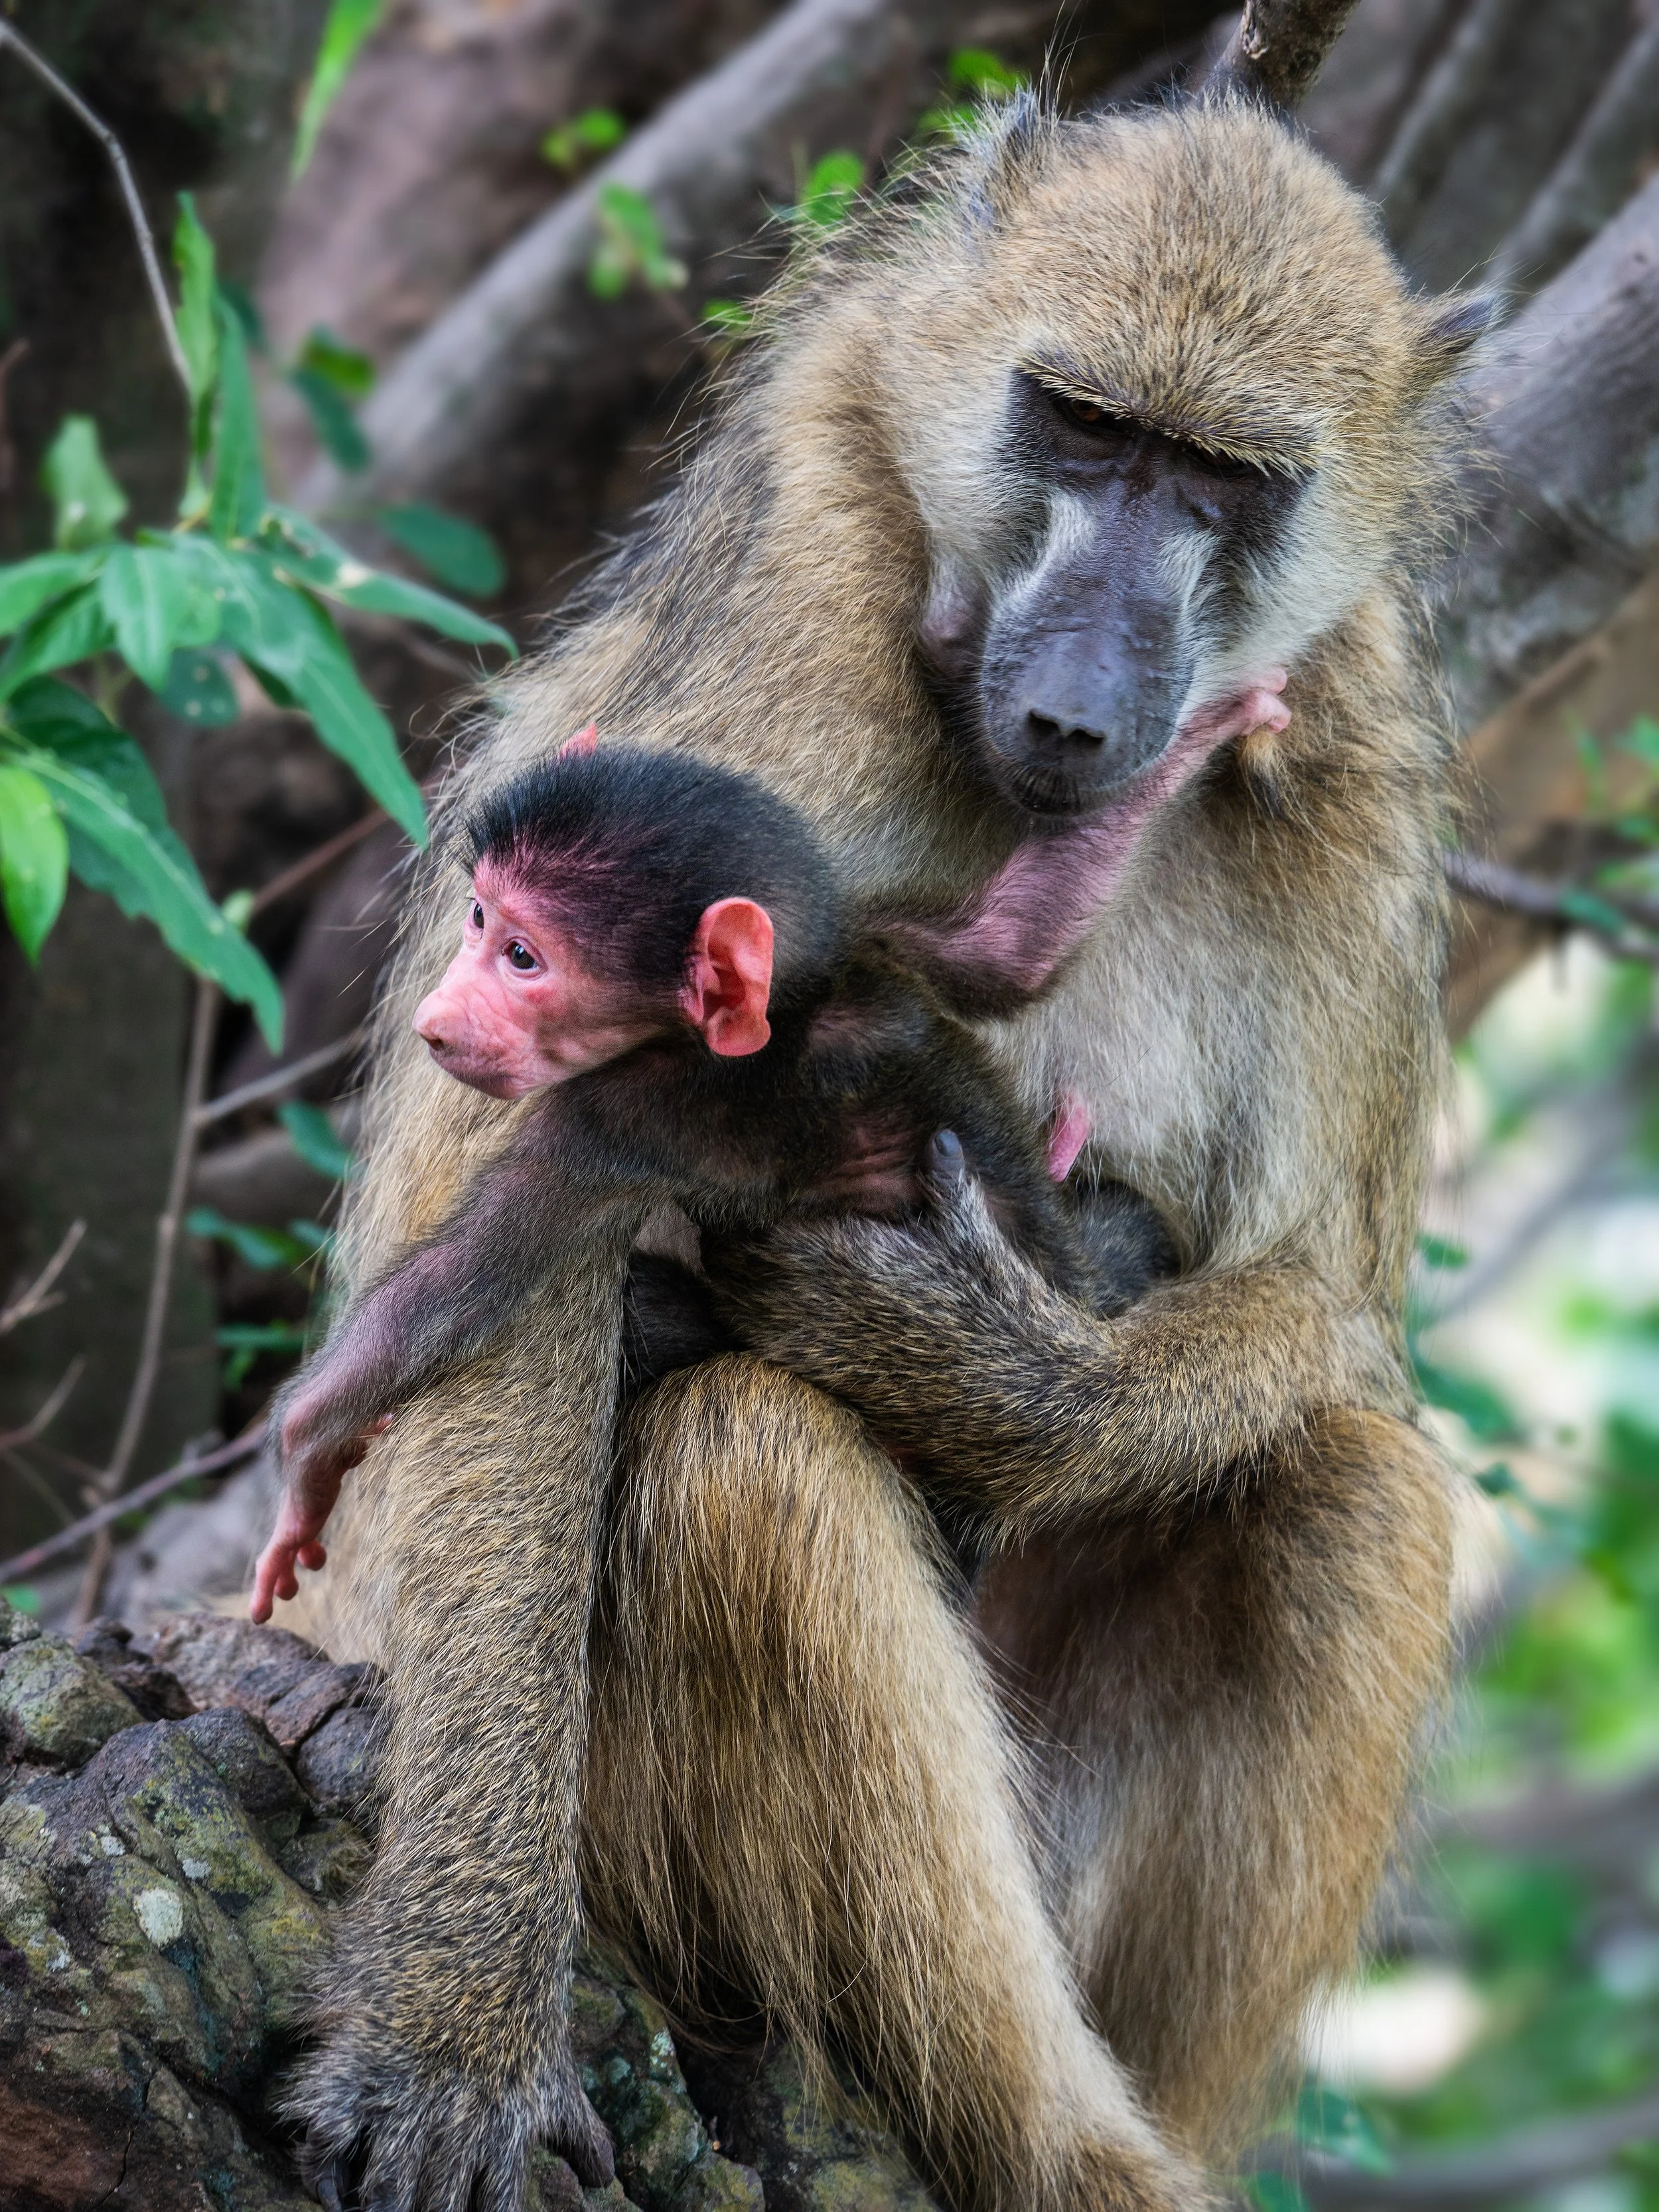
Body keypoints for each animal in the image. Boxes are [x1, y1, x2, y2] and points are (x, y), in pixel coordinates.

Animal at [250, 737, 1202, 1631]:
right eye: (476, 917)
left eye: (521, 956)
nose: (436, 1020)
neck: (790, 1013)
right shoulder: (867, 939)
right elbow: (1010, 951)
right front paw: (1196, 745)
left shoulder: (622, 1114)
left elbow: (460, 1283)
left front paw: (305, 1463)